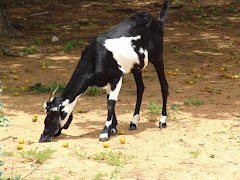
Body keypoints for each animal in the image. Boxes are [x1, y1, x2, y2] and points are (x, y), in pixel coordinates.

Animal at [38, 0, 172, 143]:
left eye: (53, 114)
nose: (43, 137)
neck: (95, 58)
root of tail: (157, 21)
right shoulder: (106, 83)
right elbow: (109, 100)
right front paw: (112, 129)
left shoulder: (117, 76)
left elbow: (111, 103)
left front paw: (104, 133)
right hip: (137, 66)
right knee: (140, 88)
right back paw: (133, 122)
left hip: (158, 56)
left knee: (164, 86)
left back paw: (162, 120)